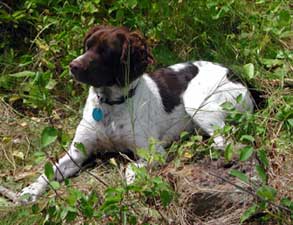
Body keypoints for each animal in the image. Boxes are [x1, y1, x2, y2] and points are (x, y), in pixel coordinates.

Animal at [19, 25, 254, 203]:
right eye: (87, 46)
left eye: (105, 51)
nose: (73, 65)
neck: (110, 104)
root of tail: (237, 75)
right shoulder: (77, 153)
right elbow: (49, 171)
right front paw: (29, 192)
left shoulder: (153, 151)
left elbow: (131, 169)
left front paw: (132, 186)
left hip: (197, 102)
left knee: (226, 141)